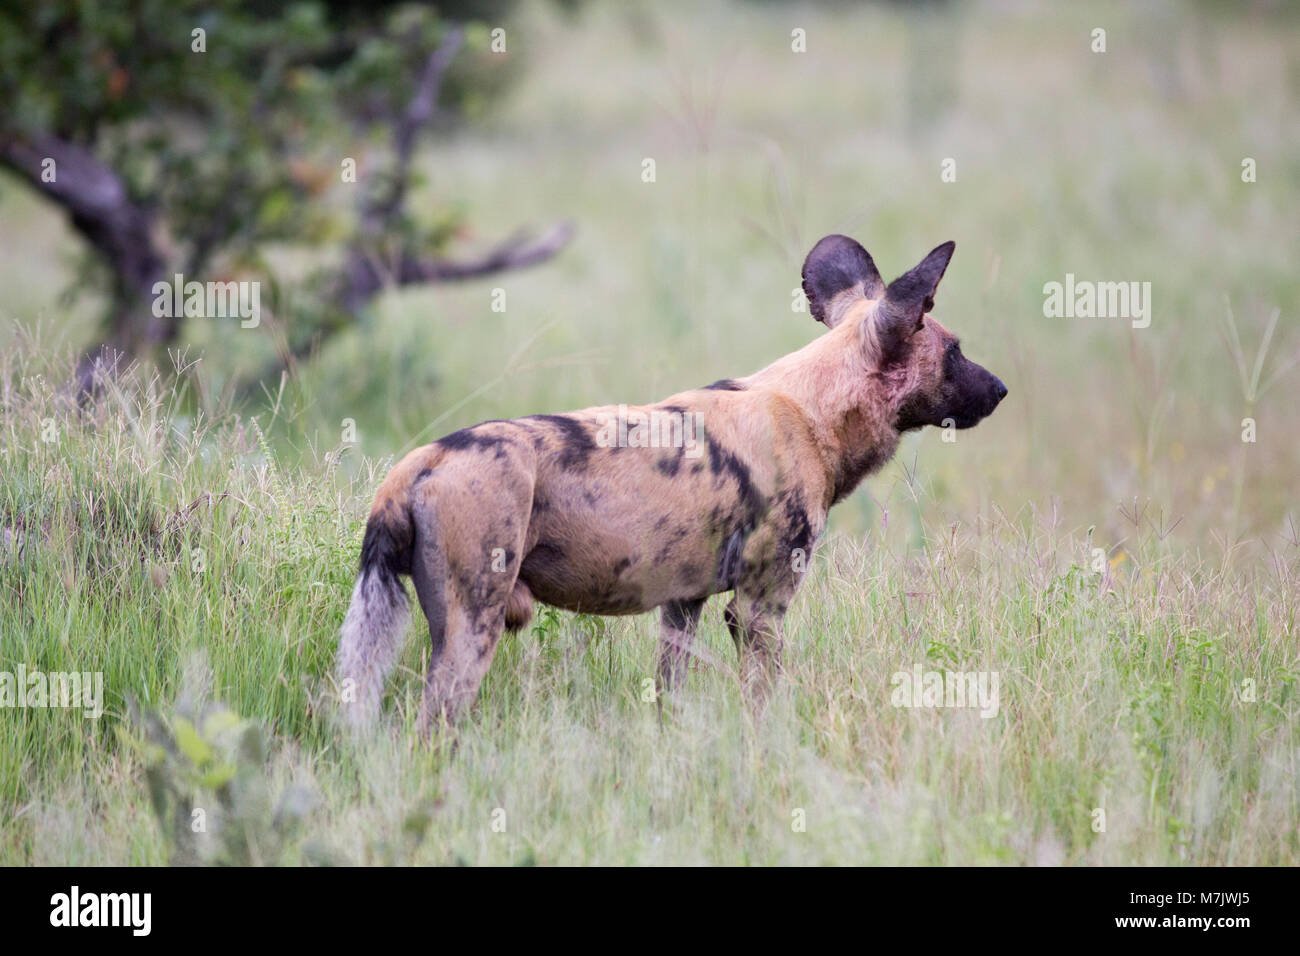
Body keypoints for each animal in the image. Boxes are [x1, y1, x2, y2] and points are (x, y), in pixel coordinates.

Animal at [335, 235, 1003, 728]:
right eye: (955, 351)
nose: (999, 388)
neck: (812, 409)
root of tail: (416, 464)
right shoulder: (758, 609)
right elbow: (764, 704)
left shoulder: (682, 605)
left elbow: (670, 696)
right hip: (473, 628)